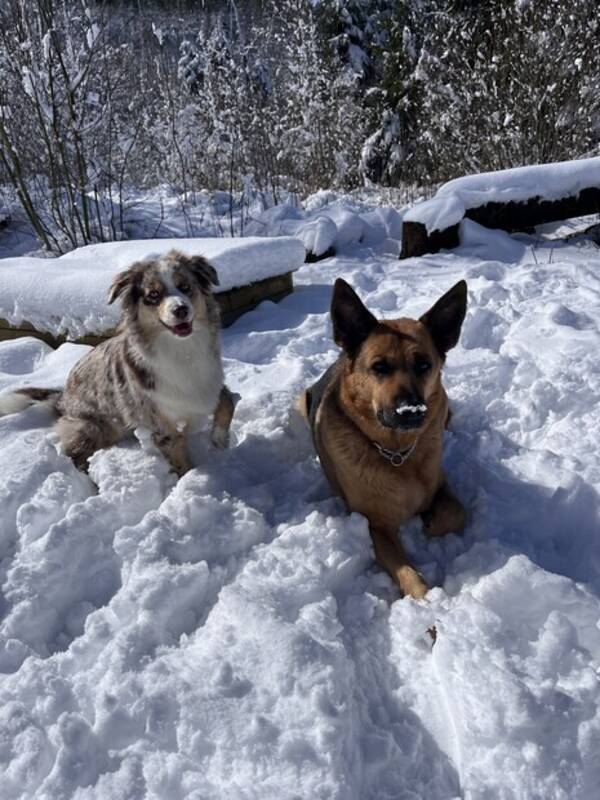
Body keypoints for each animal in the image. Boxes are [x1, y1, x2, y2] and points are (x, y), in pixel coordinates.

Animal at [0, 250, 238, 476]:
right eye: (153, 295)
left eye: (185, 287)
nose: (181, 310)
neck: (182, 351)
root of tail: (62, 399)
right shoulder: (161, 424)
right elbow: (182, 463)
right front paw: (190, 480)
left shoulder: (210, 382)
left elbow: (228, 401)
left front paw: (219, 439)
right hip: (95, 426)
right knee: (73, 455)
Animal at [300, 278, 468, 596]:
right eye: (379, 367)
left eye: (424, 365)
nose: (410, 411)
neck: (397, 454)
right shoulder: (375, 526)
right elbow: (408, 573)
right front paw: (426, 599)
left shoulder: (441, 482)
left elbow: (455, 513)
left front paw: (430, 521)